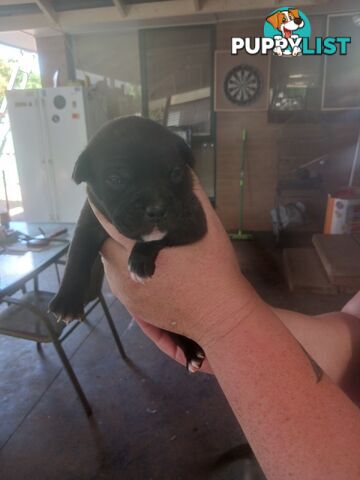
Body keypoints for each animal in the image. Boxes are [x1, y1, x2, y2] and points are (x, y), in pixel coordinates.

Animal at [50, 115, 208, 372]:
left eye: (175, 172)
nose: (157, 208)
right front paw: (68, 300)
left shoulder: (192, 220)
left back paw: (191, 350)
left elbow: (158, 237)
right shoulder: (89, 222)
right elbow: (77, 256)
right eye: (116, 179)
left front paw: (139, 261)